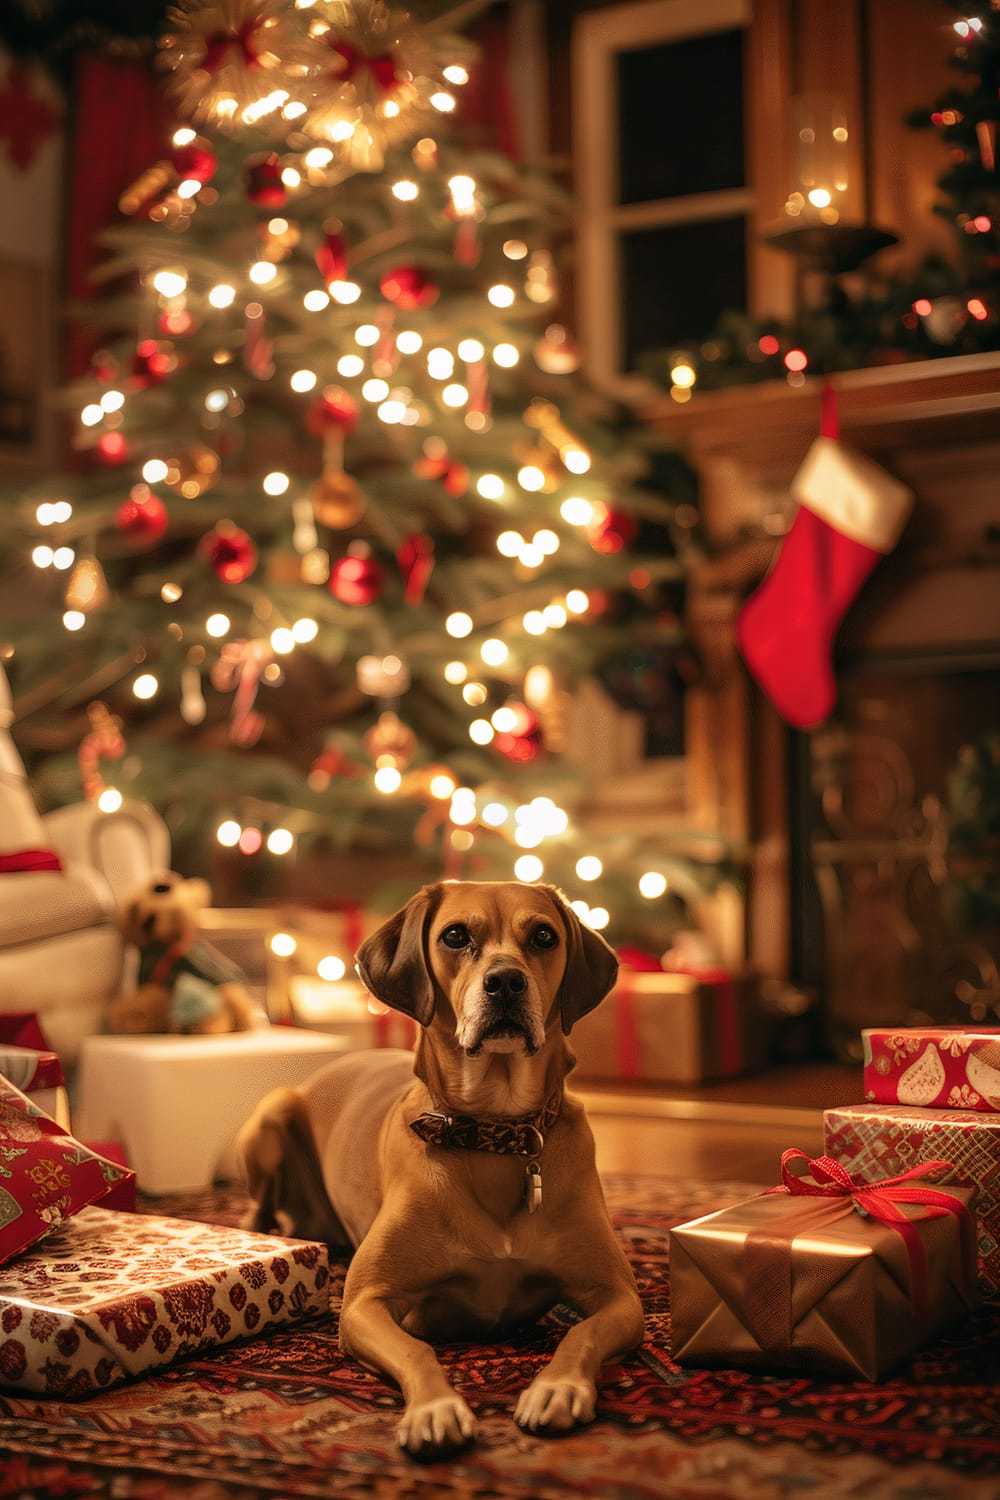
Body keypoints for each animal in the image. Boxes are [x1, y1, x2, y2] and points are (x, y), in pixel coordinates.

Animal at [242, 876, 650, 1452]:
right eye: (455, 935)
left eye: (543, 936)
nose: (506, 982)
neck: (494, 1135)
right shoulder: (364, 1303)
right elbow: (417, 1348)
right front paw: (435, 1409)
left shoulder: (619, 1297)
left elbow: (580, 1331)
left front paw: (557, 1388)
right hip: (272, 1113)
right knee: (256, 1209)